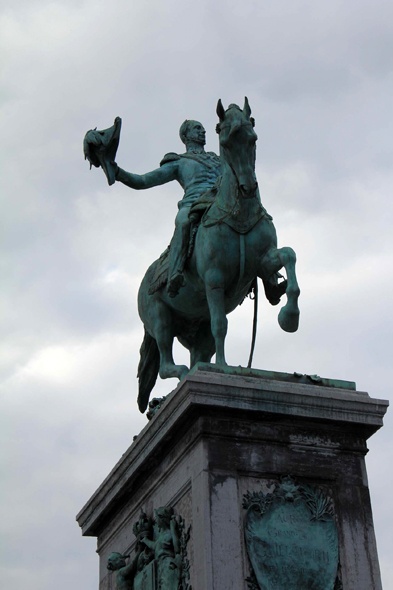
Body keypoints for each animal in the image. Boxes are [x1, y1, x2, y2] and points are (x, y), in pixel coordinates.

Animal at [136, 98, 298, 412]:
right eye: (225, 139)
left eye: (252, 137)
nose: (247, 187)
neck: (238, 213)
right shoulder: (214, 279)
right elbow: (220, 323)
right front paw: (224, 369)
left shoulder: (263, 264)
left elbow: (289, 256)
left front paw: (289, 316)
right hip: (160, 319)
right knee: (166, 364)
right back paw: (179, 383)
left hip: (196, 332)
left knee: (198, 355)